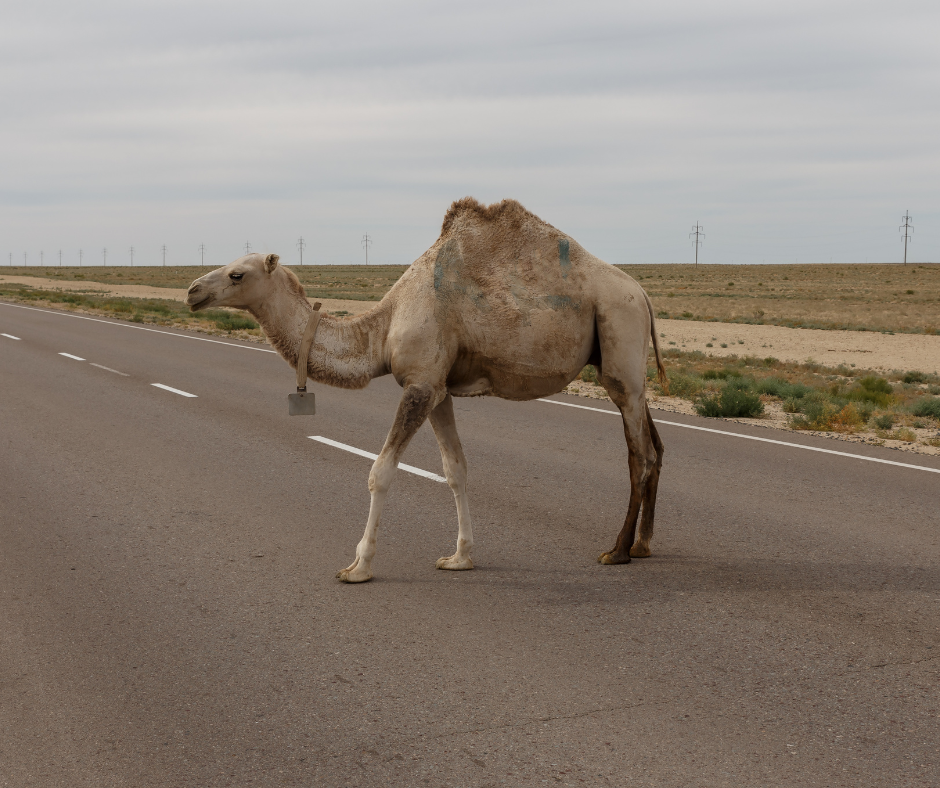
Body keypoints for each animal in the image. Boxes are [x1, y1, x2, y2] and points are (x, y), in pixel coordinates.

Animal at [186, 198, 666, 583]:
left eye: (236, 274)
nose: (192, 291)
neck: (381, 330)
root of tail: (642, 293)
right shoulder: (438, 389)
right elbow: (456, 470)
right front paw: (460, 557)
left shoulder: (418, 385)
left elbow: (380, 471)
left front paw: (358, 566)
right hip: (629, 368)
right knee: (654, 446)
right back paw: (643, 545)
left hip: (619, 335)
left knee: (638, 454)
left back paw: (617, 551)